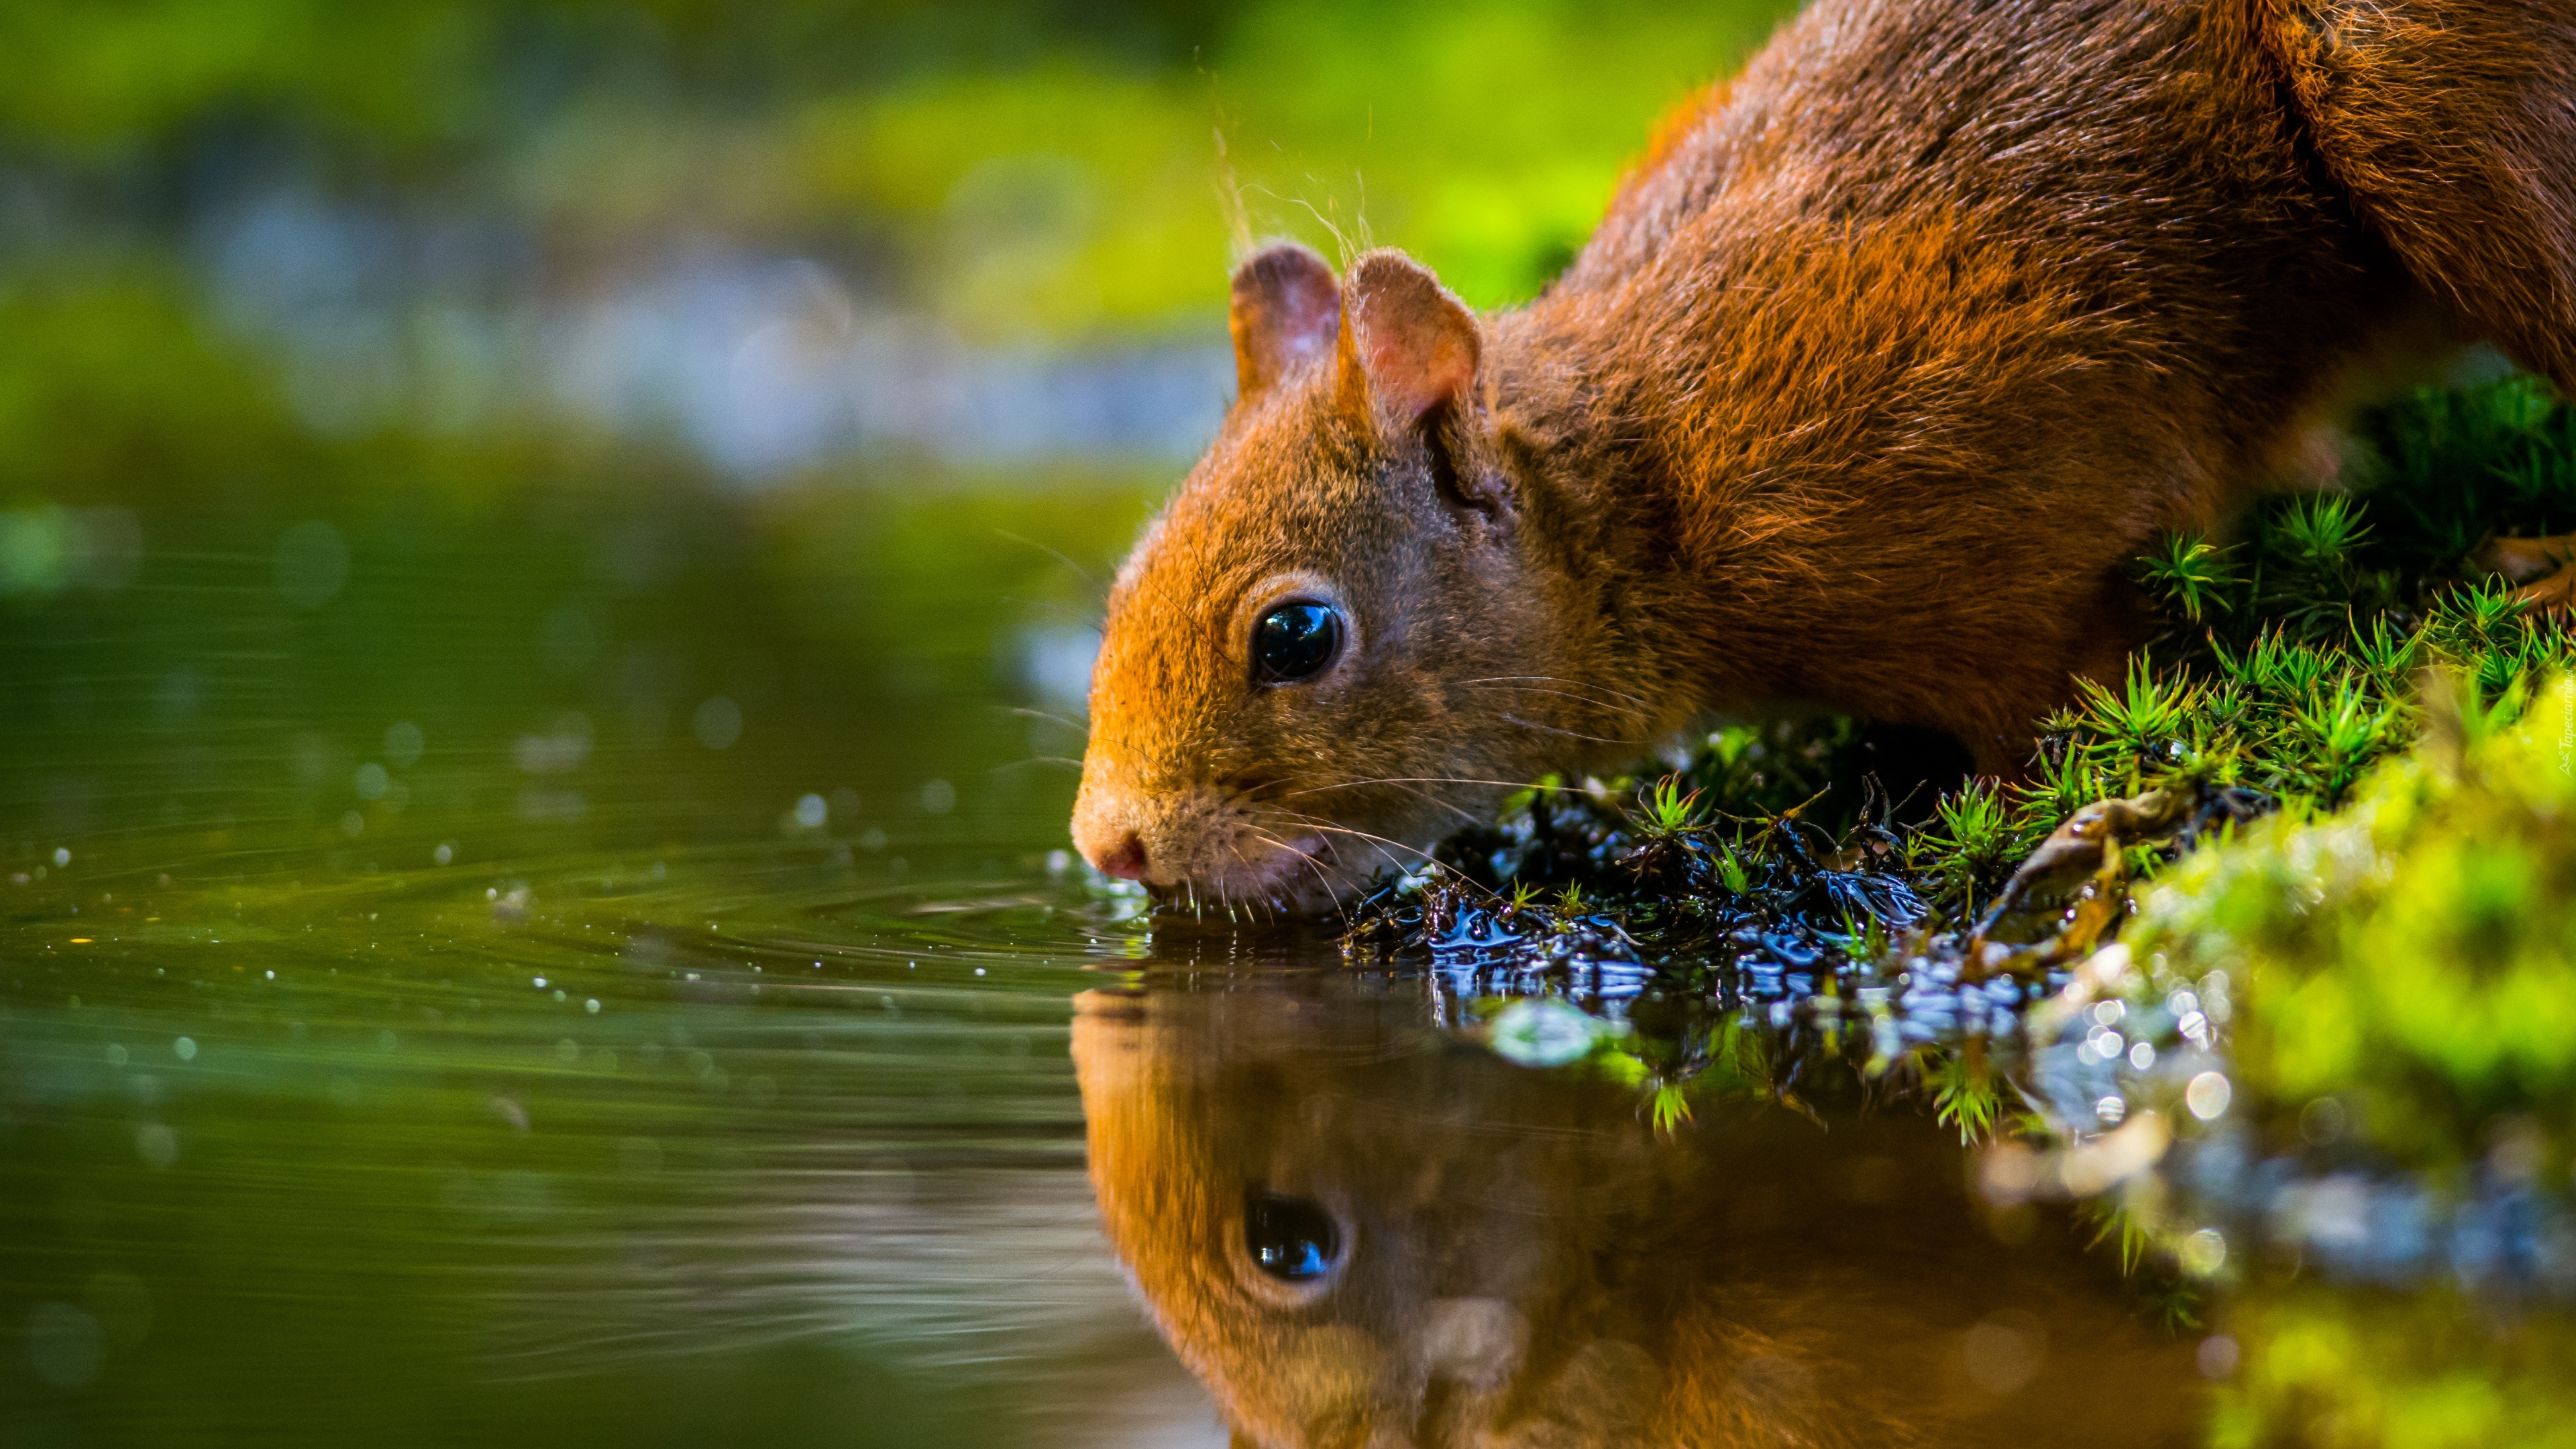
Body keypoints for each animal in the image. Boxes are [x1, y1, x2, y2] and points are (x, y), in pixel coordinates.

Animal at [1061, 0, 2576, 902]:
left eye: (1298, 635)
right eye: (1120, 586)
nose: (1104, 844)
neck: (1643, 495)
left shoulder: (2013, 490)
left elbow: (2081, 681)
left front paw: (2070, 824)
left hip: (2417, 108)